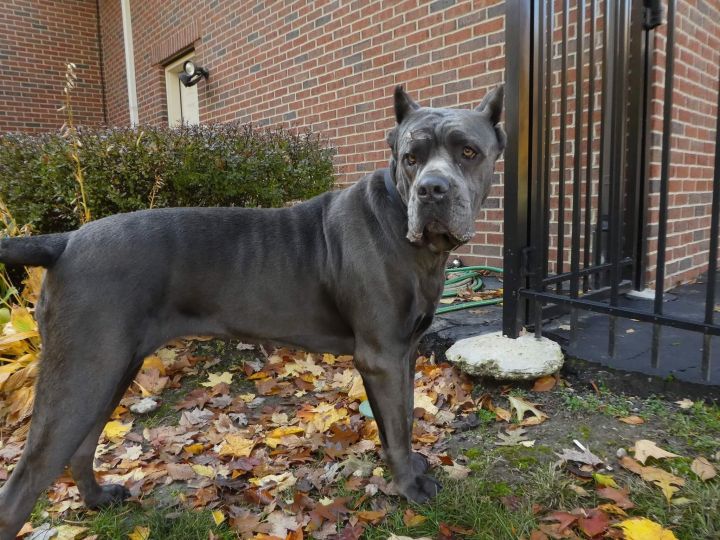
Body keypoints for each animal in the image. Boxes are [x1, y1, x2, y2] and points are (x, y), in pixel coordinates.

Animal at [0, 84, 500, 536]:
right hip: (85, 369)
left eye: (469, 152)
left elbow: (407, 416)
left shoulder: (406, 352)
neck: (404, 227)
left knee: (80, 447)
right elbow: (394, 428)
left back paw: (99, 498)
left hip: (112, 368)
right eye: (411, 158)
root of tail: (65, 241)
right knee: (24, 483)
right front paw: (410, 487)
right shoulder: (381, 357)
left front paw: (414, 466)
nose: (433, 190)